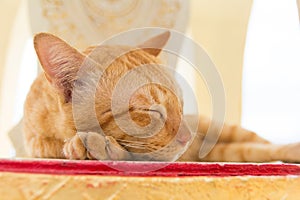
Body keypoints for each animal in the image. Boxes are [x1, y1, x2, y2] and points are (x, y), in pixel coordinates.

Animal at [22, 31, 300, 162]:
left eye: (180, 103)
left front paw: (94, 146)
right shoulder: (35, 143)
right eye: (150, 110)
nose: (188, 138)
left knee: (265, 144)